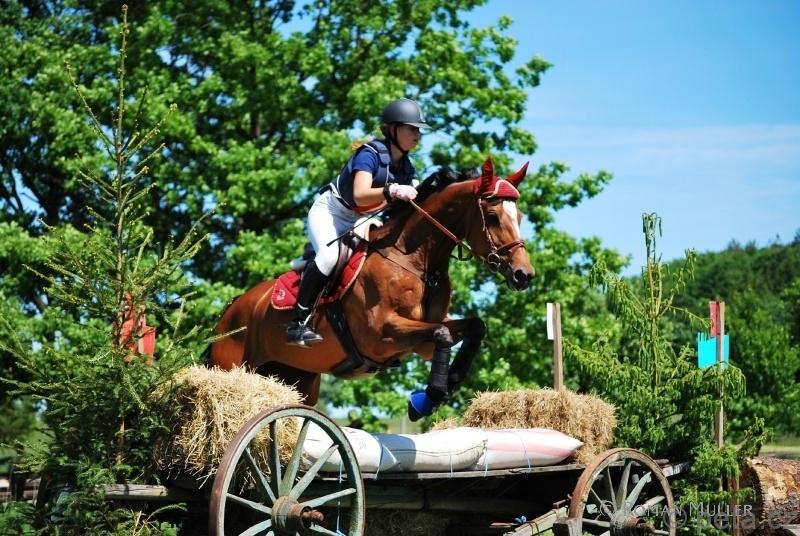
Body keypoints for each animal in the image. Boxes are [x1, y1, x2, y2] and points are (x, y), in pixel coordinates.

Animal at [210, 156, 535, 419]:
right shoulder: (380, 333)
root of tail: (233, 307)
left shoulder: (424, 339)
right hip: (231, 366)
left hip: (296, 378)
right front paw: (430, 396)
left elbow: (473, 327)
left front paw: (438, 391)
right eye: (492, 217)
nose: (524, 275)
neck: (414, 259)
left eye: (519, 217)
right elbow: (442, 333)